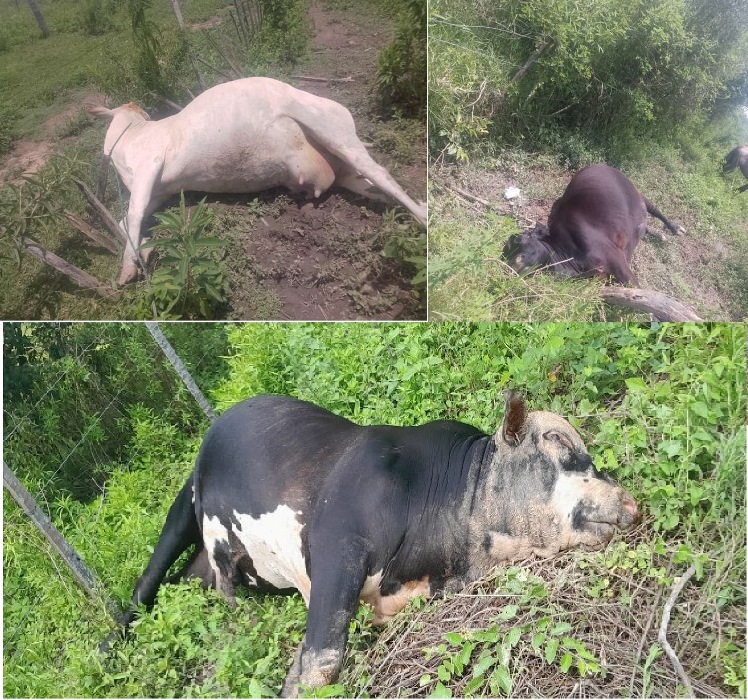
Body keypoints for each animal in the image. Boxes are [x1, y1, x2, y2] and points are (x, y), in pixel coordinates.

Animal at [89, 78, 427, 286]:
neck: (131, 135)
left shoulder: (150, 166)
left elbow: (132, 215)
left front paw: (128, 268)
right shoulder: (160, 191)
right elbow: (125, 221)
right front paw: (143, 252)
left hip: (333, 130)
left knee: (382, 173)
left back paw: (423, 217)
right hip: (343, 170)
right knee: (373, 186)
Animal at [101, 392, 640, 696]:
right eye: (560, 445)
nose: (631, 504)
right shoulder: (337, 543)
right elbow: (321, 660)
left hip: (211, 563)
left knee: (198, 581)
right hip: (186, 503)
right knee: (148, 579)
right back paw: (109, 648)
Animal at [503, 164, 683, 285]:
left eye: (524, 238)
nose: (510, 266)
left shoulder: (617, 259)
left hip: (639, 194)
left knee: (655, 209)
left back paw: (675, 228)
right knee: (643, 226)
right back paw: (658, 233)